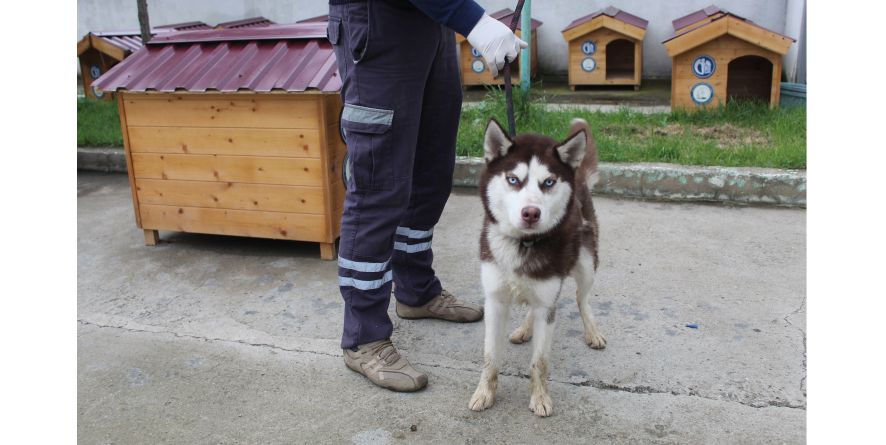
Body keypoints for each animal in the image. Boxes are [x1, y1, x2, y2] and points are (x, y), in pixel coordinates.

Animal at [468, 118, 608, 416]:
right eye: (513, 179)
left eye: (548, 182)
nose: (531, 213)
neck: (524, 244)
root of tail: (577, 175)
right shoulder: (495, 301)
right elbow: (490, 357)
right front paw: (485, 393)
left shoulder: (547, 302)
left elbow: (540, 362)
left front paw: (540, 397)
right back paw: (524, 329)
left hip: (586, 265)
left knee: (582, 299)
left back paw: (591, 331)